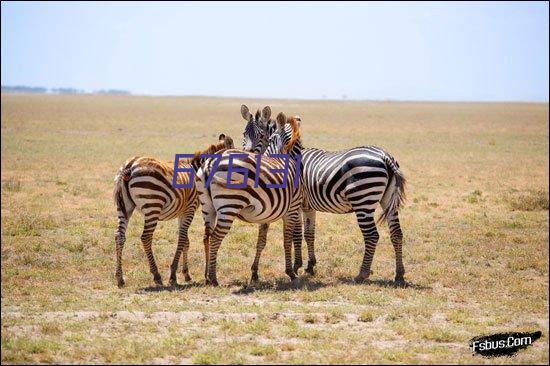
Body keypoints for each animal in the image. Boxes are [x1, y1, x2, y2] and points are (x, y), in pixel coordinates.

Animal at [113, 133, 236, 288]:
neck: (197, 169)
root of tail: (130, 165)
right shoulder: (190, 208)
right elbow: (182, 239)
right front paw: (173, 275)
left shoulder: (181, 212)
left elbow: (186, 241)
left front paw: (186, 274)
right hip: (152, 206)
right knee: (146, 237)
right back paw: (157, 275)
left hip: (124, 207)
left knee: (119, 236)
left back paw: (120, 277)